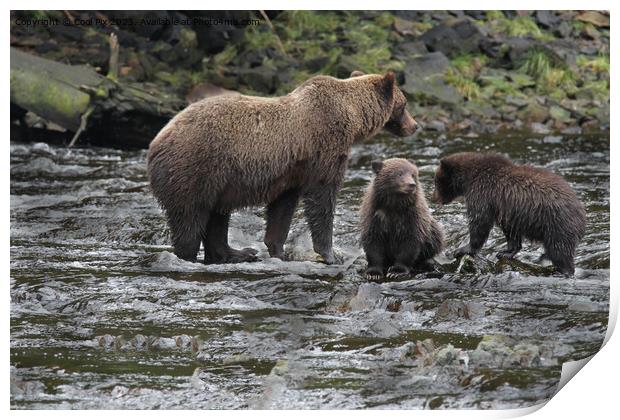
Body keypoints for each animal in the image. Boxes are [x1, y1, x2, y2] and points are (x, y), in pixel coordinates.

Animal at [148, 70, 418, 264]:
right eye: (404, 105)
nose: (415, 126)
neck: (352, 117)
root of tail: (156, 141)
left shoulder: (292, 171)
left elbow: (283, 208)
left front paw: (278, 250)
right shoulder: (325, 147)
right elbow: (322, 196)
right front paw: (330, 254)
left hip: (219, 180)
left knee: (217, 216)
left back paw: (239, 252)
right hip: (196, 167)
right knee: (190, 218)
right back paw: (190, 256)